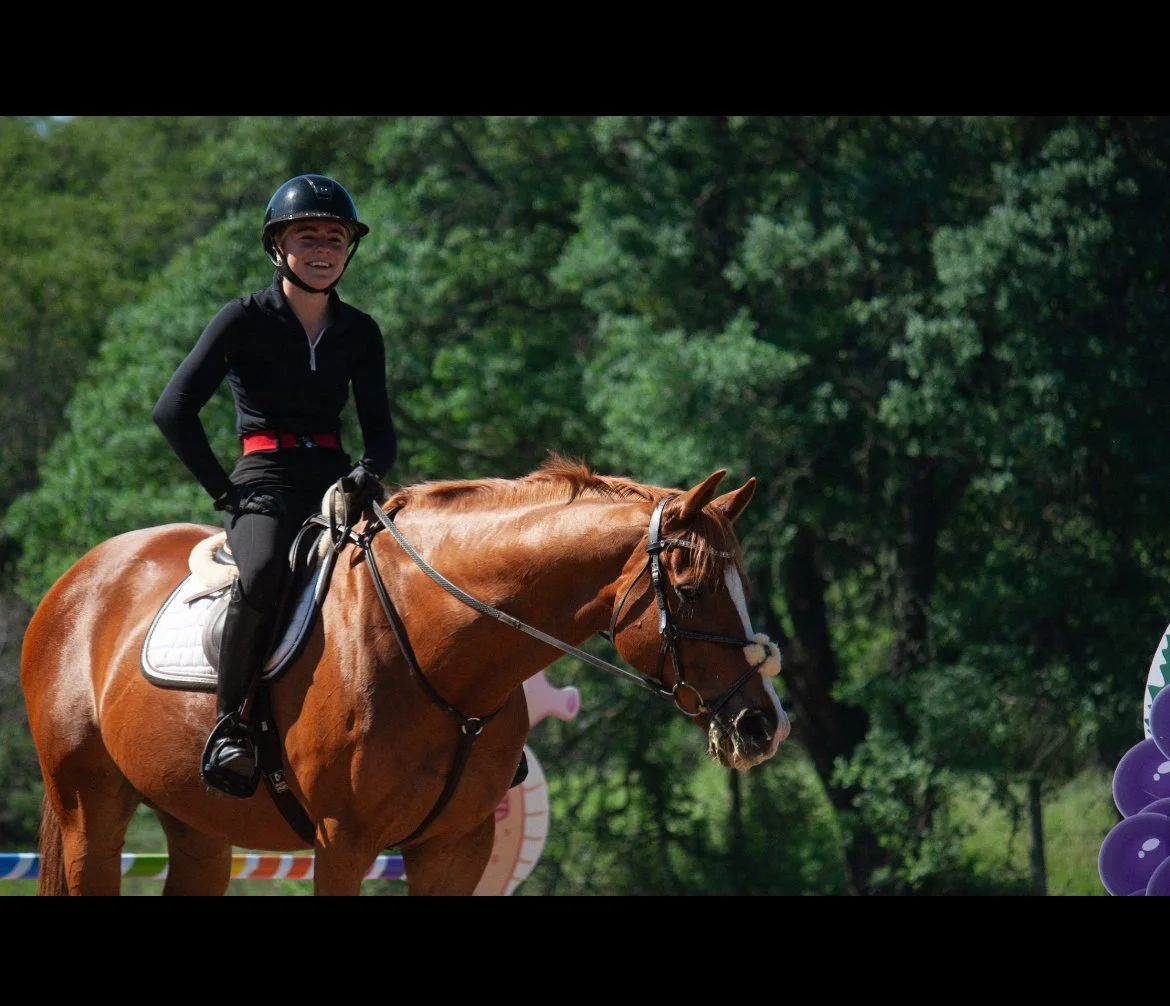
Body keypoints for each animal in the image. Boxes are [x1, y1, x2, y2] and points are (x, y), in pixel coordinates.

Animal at [20, 455, 790, 895]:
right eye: (692, 589)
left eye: (746, 584)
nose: (764, 725)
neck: (438, 655)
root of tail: (81, 576)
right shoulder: (342, 844)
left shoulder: (454, 848)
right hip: (90, 810)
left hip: (197, 825)